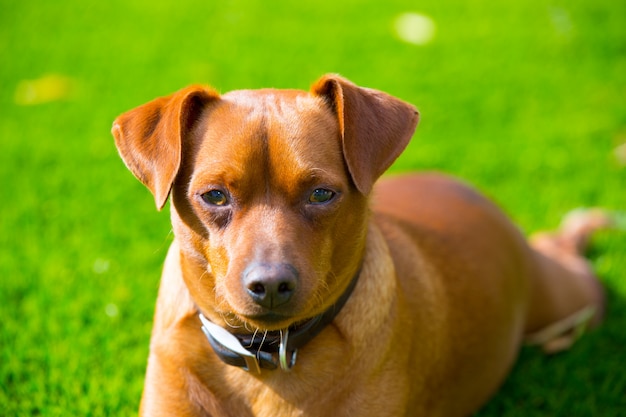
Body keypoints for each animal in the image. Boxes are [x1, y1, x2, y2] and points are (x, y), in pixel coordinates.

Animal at [112, 75, 604, 416]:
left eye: (321, 194)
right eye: (214, 196)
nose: (269, 285)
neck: (265, 362)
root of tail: (468, 189)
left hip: (566, 298)